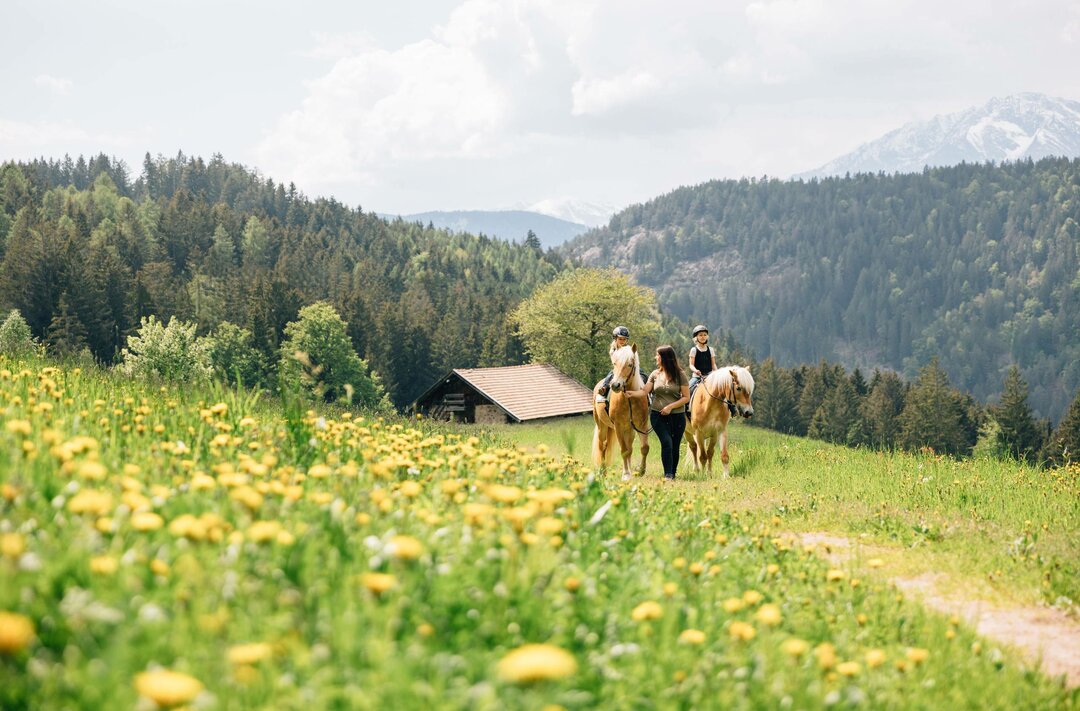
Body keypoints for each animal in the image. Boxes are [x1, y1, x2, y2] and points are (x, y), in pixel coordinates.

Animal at [591, 341, 648, 475]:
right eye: (614, 363)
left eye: (630, 364)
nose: (615, 385)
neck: (629, 399)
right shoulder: (618, 426)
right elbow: (624, 451)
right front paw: (626, 474)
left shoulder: (641, 425)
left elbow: (644, 448)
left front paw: (640, 471)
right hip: (602, 425)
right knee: (603, 445)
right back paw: (602, 471)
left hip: (629, 429)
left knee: (629, 447)